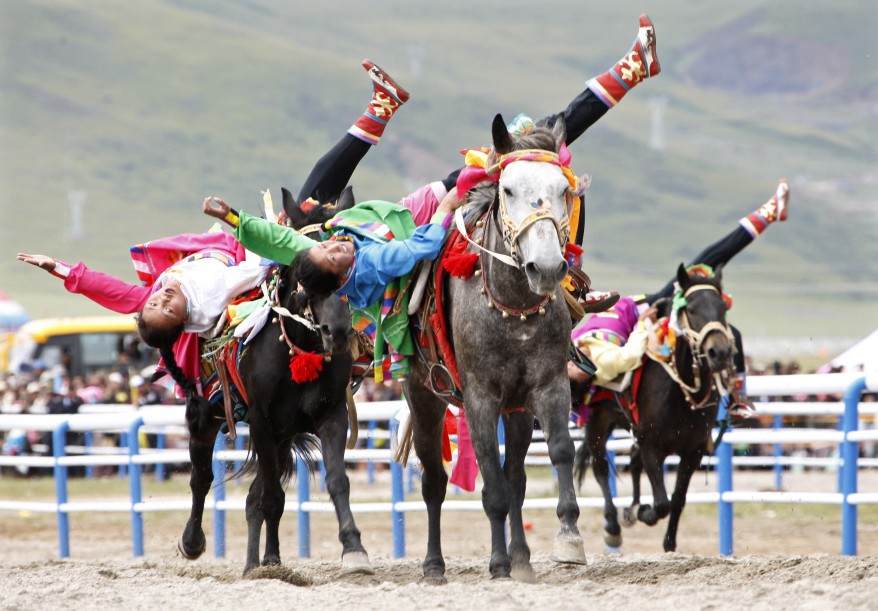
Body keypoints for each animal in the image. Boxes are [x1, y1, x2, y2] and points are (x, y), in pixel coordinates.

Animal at [404, 115, 584, 584]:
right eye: (507, 189)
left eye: (563, 189)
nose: (547, 267)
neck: (513, 308)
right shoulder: (480, 399)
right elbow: (492, 490)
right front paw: (498, 564)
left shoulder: (549, 387)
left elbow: (559, 452)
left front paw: (568, 538)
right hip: (424, 397)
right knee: (434, 482)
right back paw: (434, 564)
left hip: (517, 409)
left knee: (516, 478)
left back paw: (521, 558)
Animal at [576, 266, 736, 552]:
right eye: (691, 308)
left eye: (722, 308)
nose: (719, 352)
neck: (680, 392)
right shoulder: (652, 445)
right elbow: (662, 503)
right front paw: (643, 512)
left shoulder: (693, 451)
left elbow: (678, 499)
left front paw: (669, 543)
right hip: (598, 422)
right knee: (600, 467)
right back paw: (613, 525)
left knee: (631, 459)